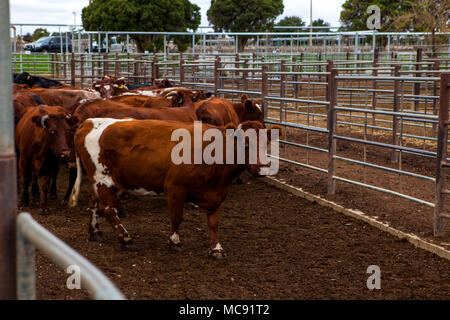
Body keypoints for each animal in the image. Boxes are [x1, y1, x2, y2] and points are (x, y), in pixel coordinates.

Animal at [68, 117, 280, 258]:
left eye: (266, 143)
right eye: (245, 142)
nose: (263, 167)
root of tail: (88, 123)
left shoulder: (216, 193)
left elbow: (214, 222)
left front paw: (216, 248)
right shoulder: (175, 188)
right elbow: (177, 218)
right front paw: (175, 242)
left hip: (104, 181)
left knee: (94, 204)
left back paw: (95, 232)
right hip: (103, 179)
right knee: (108, 210)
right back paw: (127, 239)